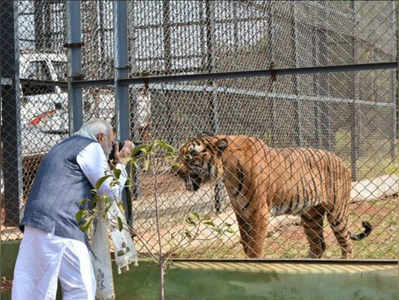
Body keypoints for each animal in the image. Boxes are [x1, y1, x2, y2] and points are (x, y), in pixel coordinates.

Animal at [173, 135, 374, 258]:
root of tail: (342, 162)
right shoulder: (241, 212)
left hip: (337, 212)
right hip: (311, 216)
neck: (226, 173)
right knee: (318, 246)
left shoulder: (258, 212)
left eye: (190, 155)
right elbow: (246, 244)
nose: (174, 170)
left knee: (346, 245)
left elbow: (255, 247)